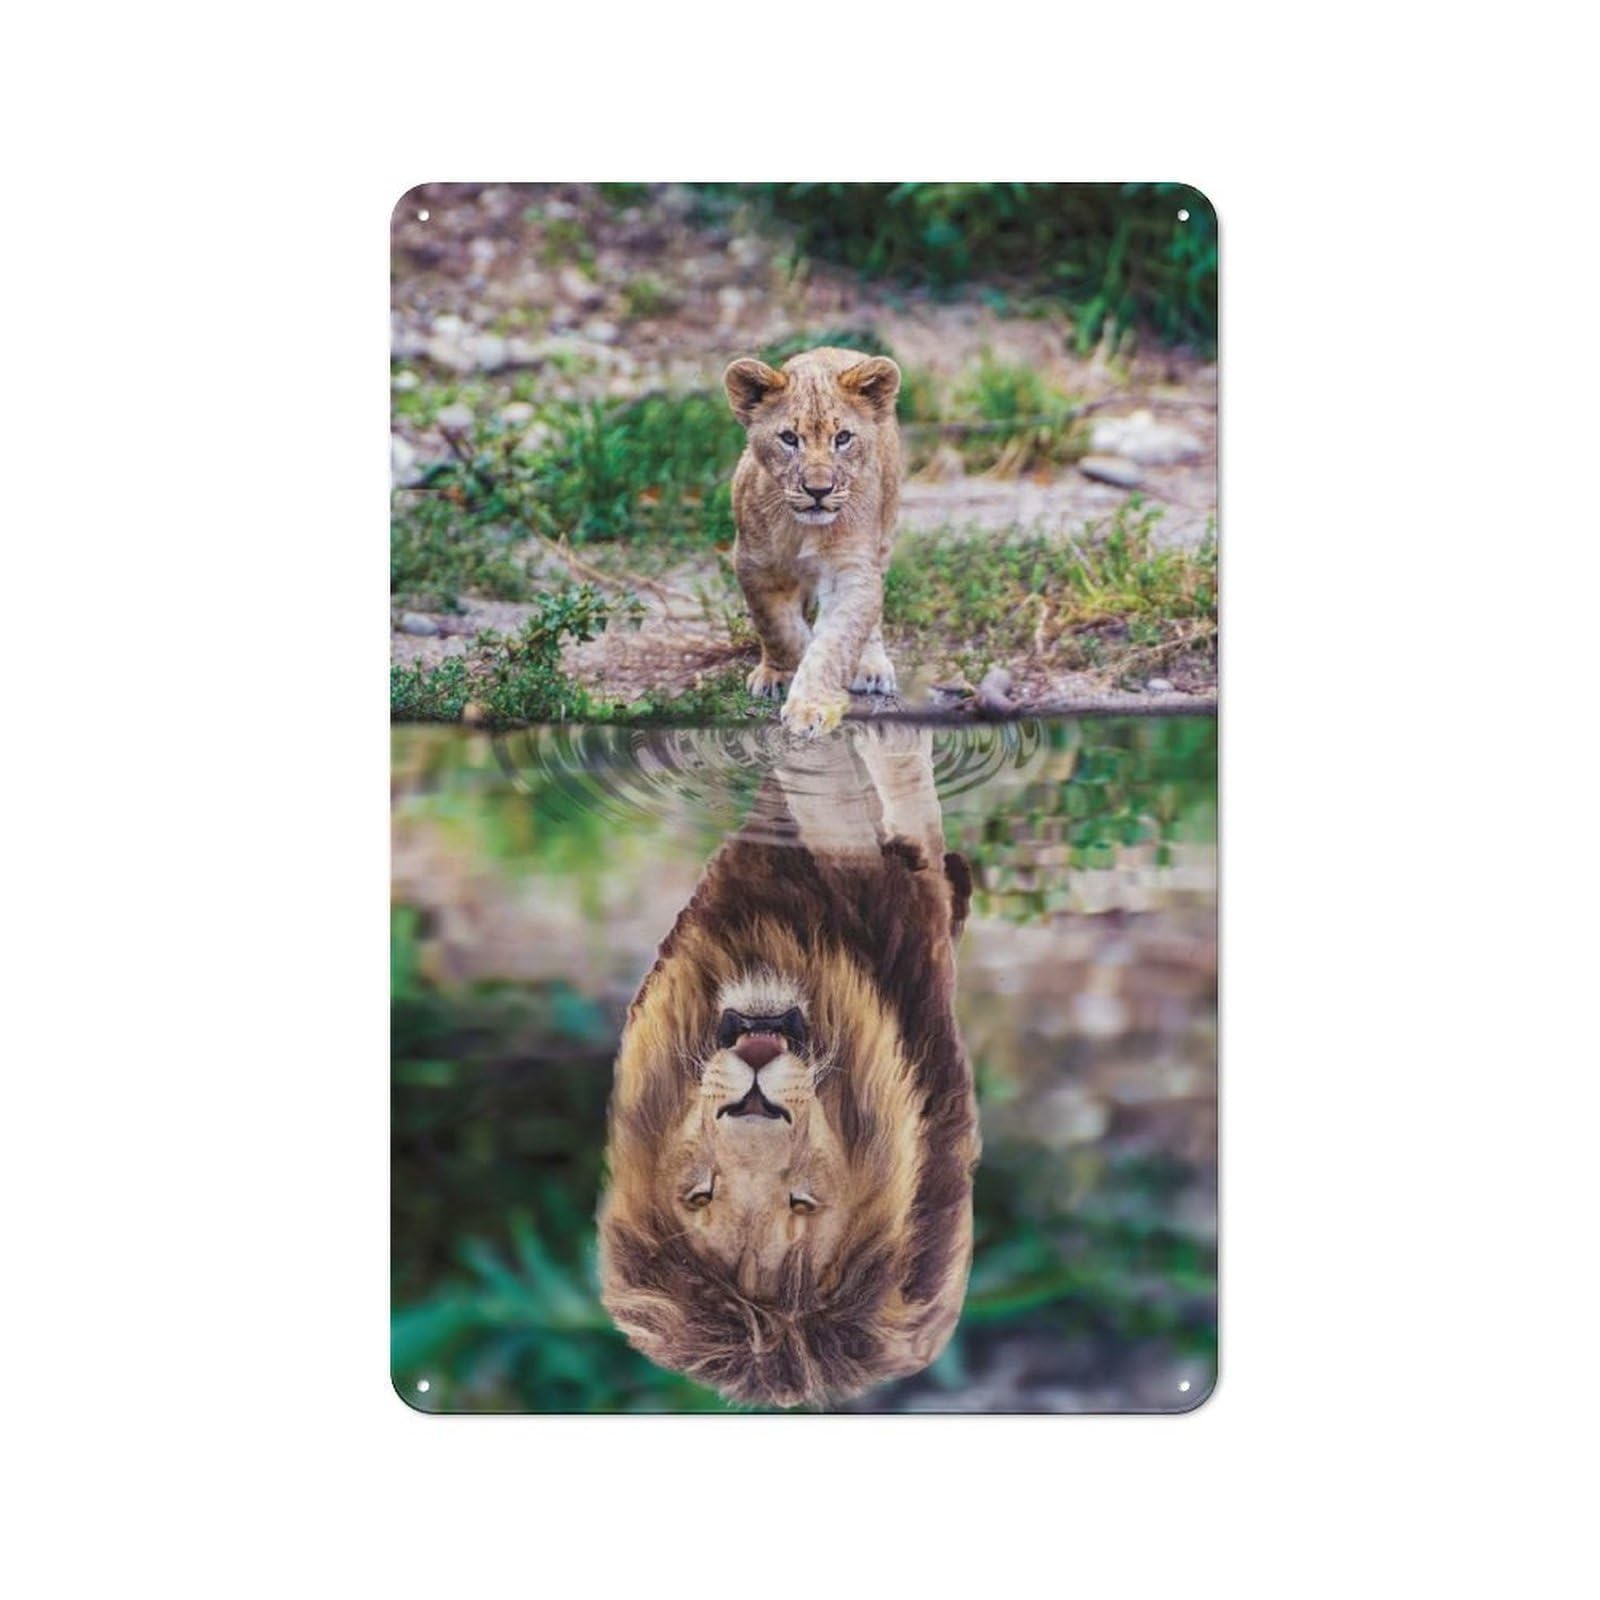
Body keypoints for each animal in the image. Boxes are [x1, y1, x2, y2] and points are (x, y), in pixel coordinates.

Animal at [722, 346, 903, 739]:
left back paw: (871, 666)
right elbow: (779, 628)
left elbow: (837, 640)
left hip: (884, 534)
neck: (804, 529)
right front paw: (784, 667)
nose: (818, 490)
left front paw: (810, 707)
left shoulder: (853, 569)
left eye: (843, 438)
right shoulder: (753, 563)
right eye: (790, 438)